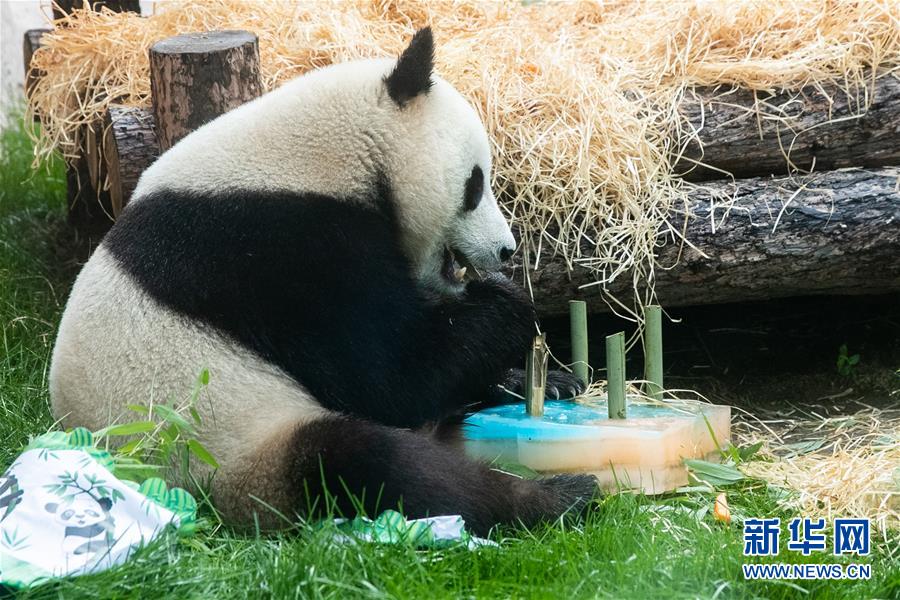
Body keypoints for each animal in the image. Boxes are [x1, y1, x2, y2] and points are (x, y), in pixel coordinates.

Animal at [49, 28, 596, 536]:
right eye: (475, 184)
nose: (506, 251)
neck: (326, 152)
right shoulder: (278, 251)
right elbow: (390, 377)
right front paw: (508, 307)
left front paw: (548, 375)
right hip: (233, 450)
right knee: (372, 465)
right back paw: (553, 497)